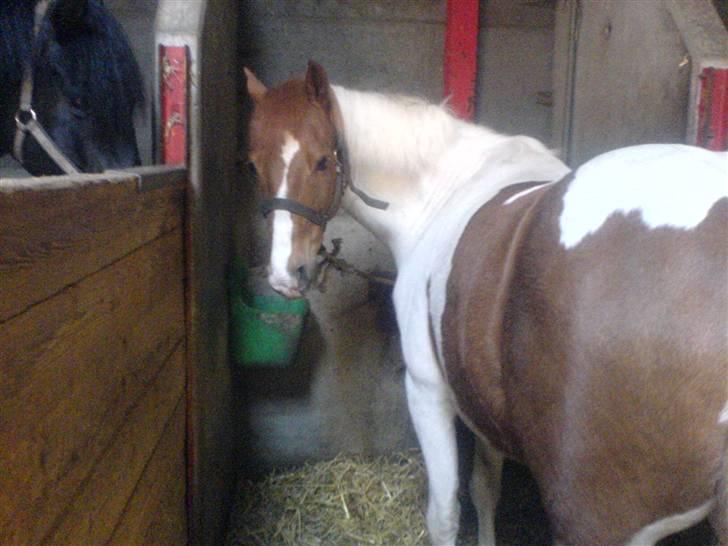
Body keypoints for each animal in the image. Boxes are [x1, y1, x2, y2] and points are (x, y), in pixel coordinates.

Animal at [244, 61, 728, 546]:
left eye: (322, 161)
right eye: (253, 164)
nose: (287, 273)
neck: (441, 194)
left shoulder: (428, 390)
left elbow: (444, 514)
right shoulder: (481, 398)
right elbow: (484, 488)